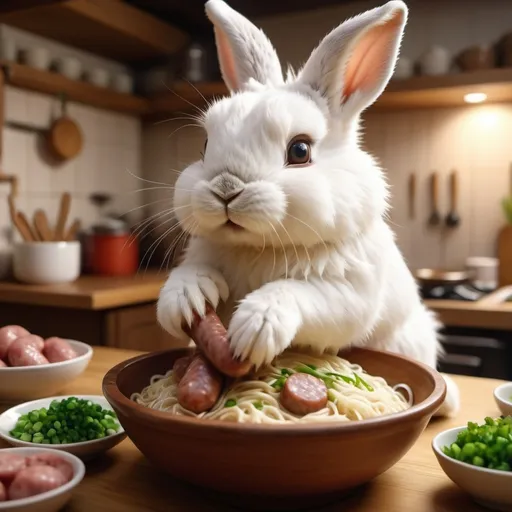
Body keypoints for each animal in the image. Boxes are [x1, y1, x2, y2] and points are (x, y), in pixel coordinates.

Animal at [157, 0, 460, 418]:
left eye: (300, 150)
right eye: (204, 146)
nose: (225, 189)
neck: (260, 248)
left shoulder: (347, 294)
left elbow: (298, 293)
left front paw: (253, 327)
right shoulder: (201, 254)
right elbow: (190, 275)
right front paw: (185, 301)